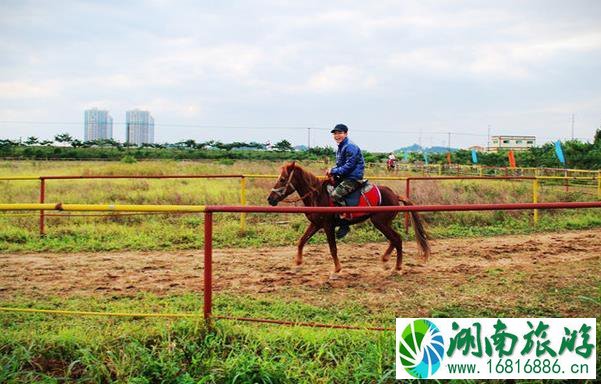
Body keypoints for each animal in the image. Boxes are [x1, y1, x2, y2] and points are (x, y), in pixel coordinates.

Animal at [264, 162, 428, 272]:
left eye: (283, 179)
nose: (270, 199)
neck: (318, 196)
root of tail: (394, 195)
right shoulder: (316, 224)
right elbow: (301, 241)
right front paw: (298, 262)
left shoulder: (328, 226)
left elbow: (332, 248)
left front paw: (336, 270)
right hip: (383, 223)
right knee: (394, 239)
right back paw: (386, 259)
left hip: (380, 222)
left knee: (397, 239)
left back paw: (397, 266)